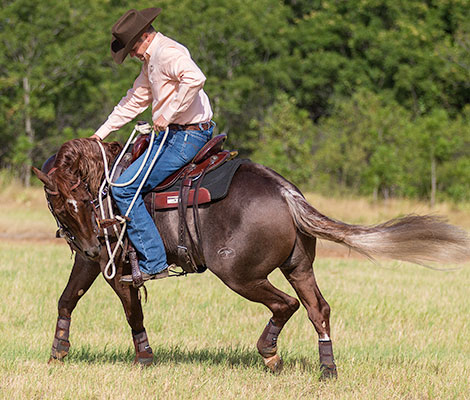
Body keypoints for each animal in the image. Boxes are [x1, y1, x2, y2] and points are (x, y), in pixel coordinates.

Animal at [33, 138, 470, 378]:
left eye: (81, 200)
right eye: (64, 203)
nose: (92, 242)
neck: (105, 188)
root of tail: (285, 192)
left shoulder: (114, 268)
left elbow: (131, 312)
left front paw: (144, 358)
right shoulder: (90, 262)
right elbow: (67, 299)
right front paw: (58, 350)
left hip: (238, 274)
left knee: (286, 304)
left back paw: (270, 354)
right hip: (298, 267)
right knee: (318, 308)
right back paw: (327, 369)